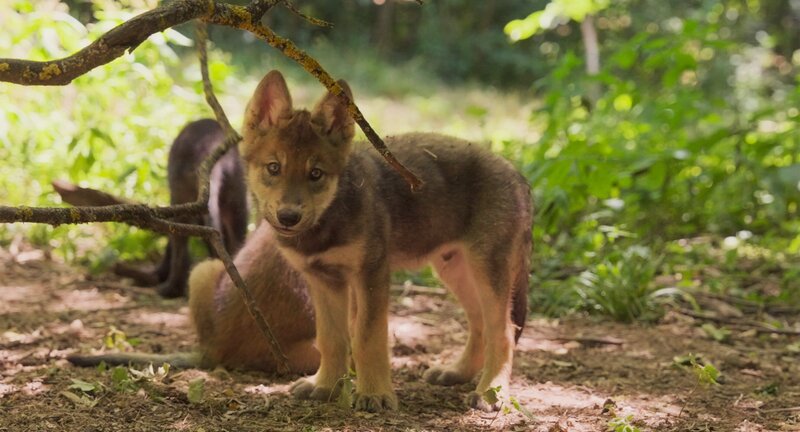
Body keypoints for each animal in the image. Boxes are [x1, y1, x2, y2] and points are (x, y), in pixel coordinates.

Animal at [239, 70, 531, 412]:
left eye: (316, 174)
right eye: (274, 168)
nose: (288, 217)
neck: (330, 218)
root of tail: (516, 174)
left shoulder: (371, 274)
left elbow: (366, 337)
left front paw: (374, 394)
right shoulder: (324, 280)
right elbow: (331, 339)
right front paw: (325, 386)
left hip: (486, 271)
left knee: (504, 331)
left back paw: (490, 392)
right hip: (455, 270)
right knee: (480, 325)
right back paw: (456, 372)